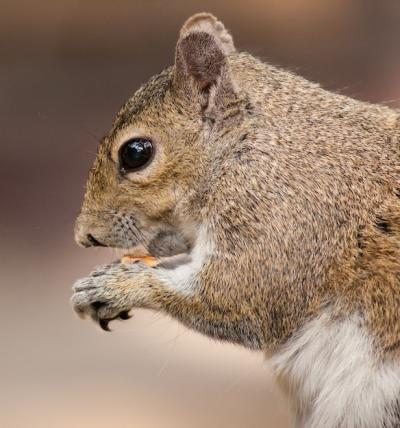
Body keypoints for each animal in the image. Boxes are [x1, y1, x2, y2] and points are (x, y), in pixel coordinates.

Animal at [72, 11, 400, 426]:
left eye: (135, 153)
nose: (84, 236)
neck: (245, 147)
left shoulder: (284, 219)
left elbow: (235, 297)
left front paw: (117, 285)